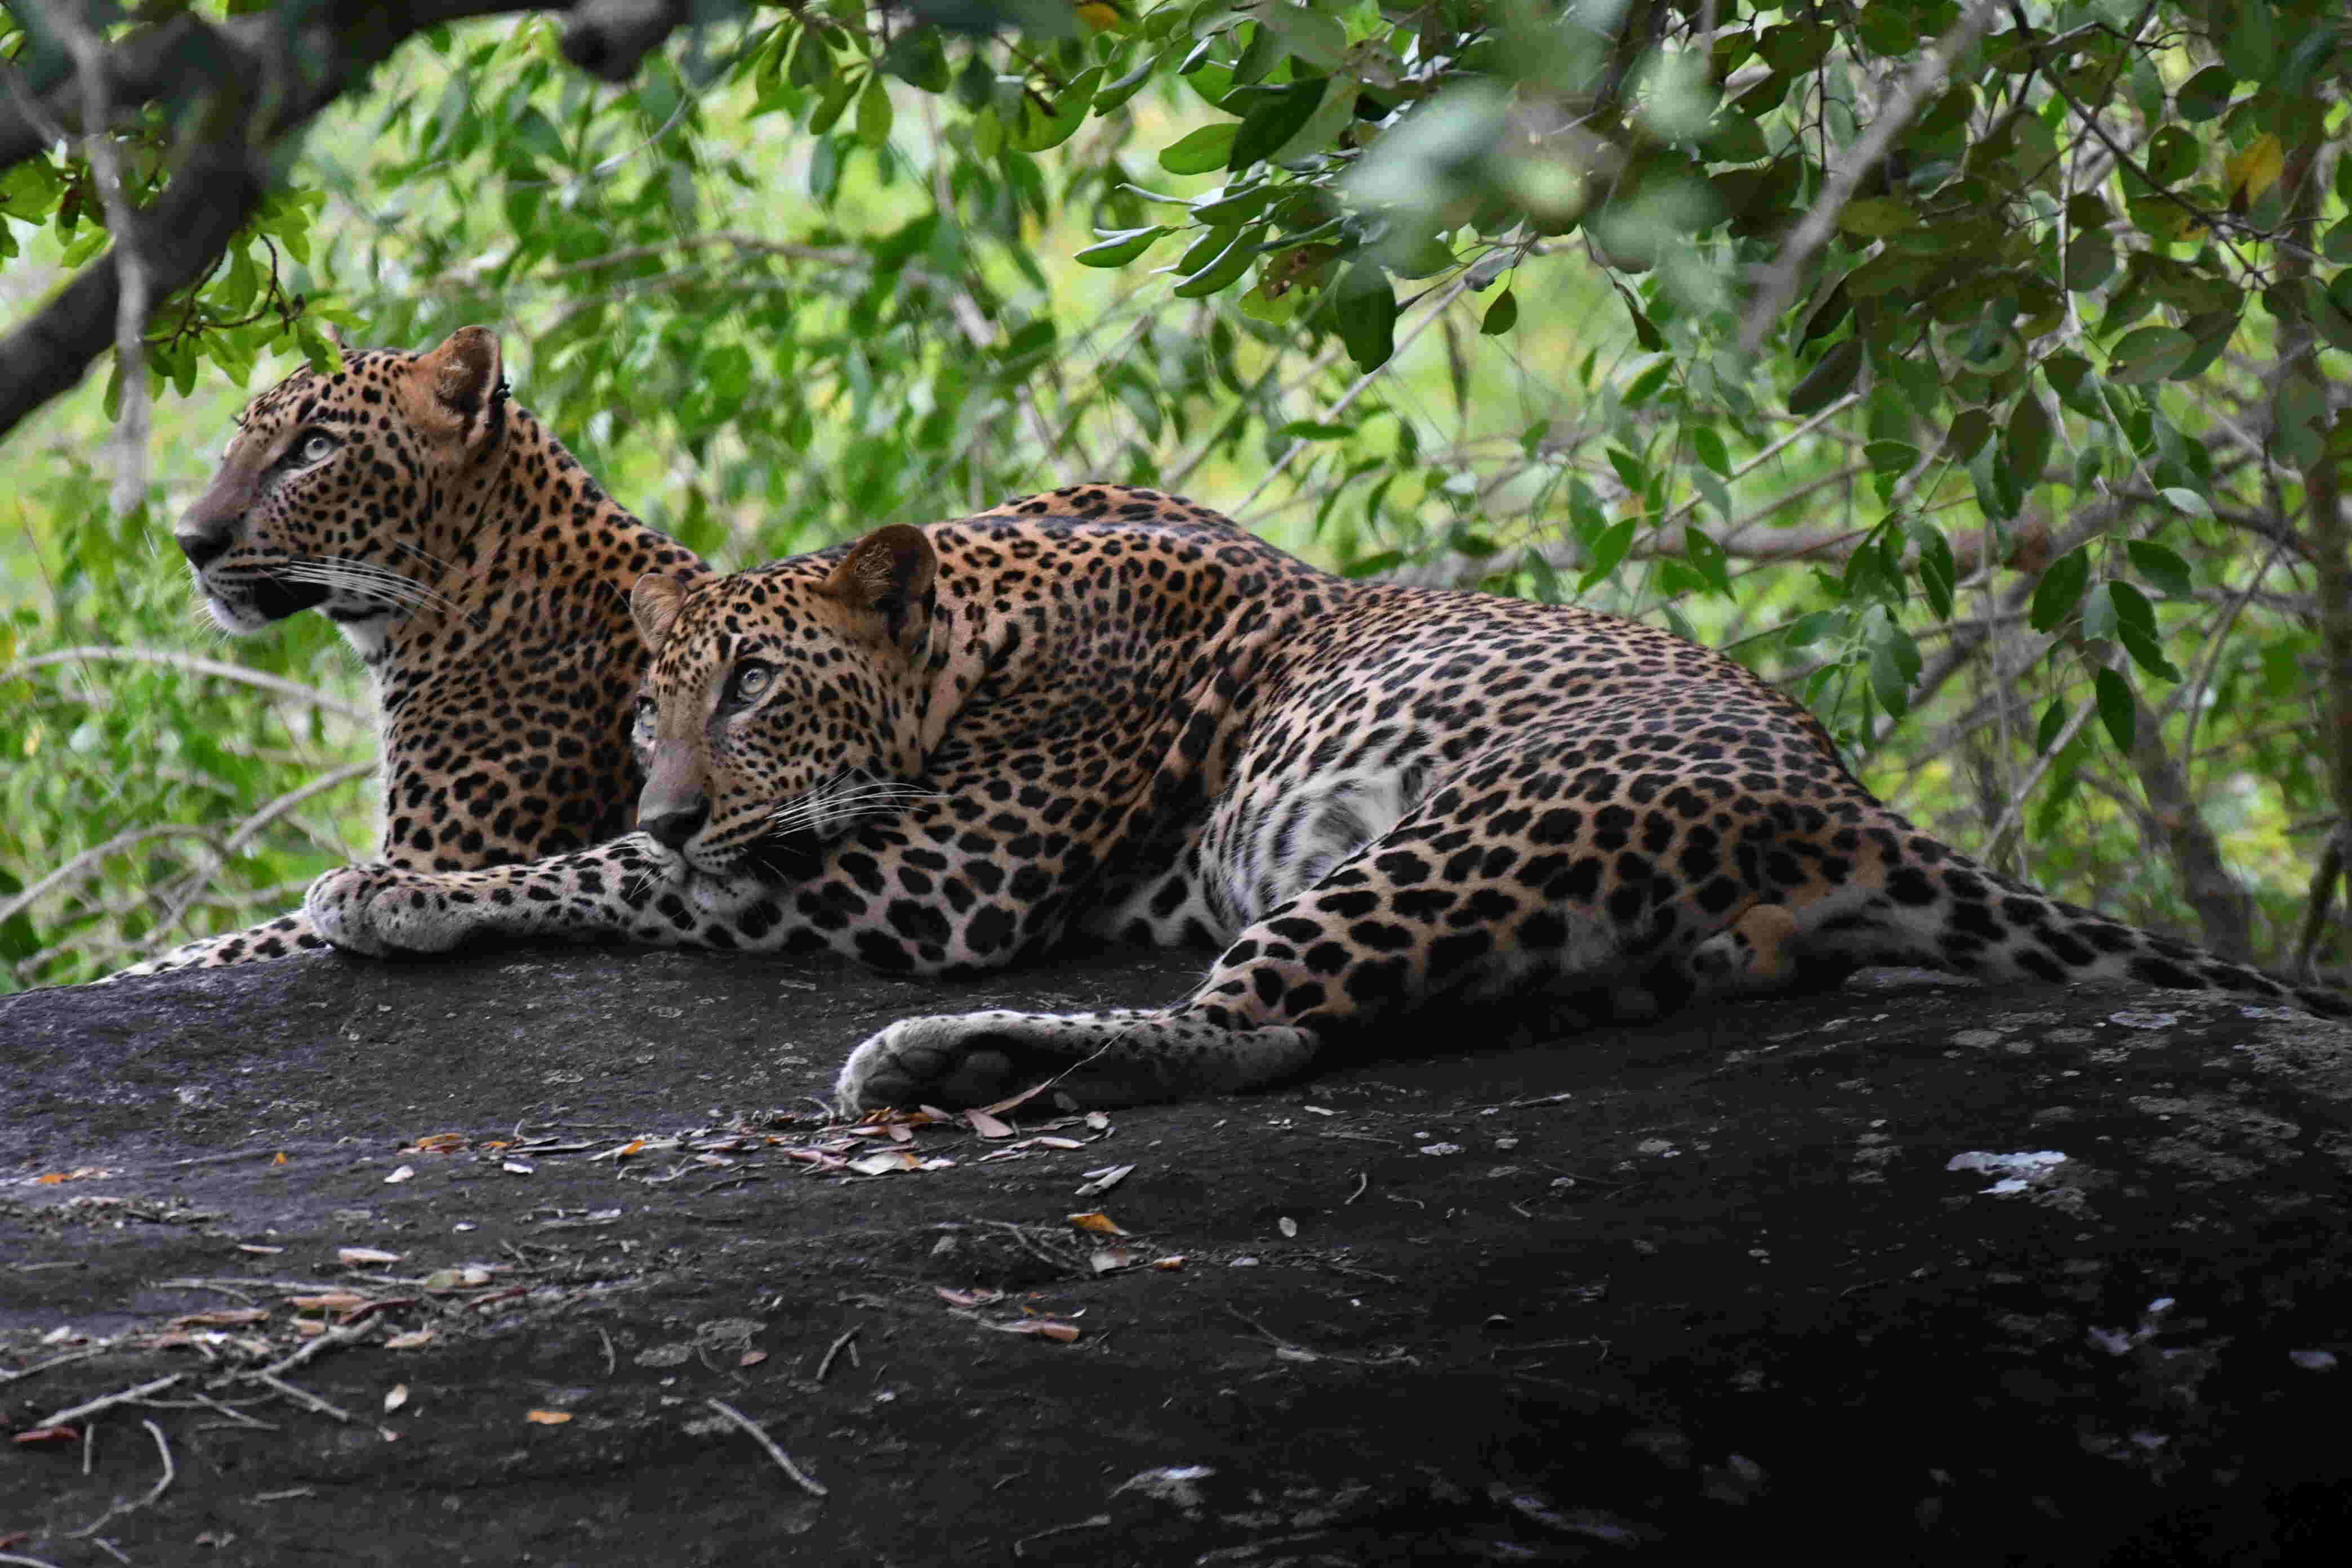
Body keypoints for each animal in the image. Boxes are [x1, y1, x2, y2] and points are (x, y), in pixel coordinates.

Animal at [301, 505, 2350, 1109]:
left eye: (753, 689)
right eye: (649, 701)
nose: (666, 795)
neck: (979, 623)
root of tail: (1848, 802)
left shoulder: (934, 877)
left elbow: (642, 881)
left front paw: (392, 894)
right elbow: (640, 869)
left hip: (1466, 827)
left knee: (1256, 1035)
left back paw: (949, 1060)